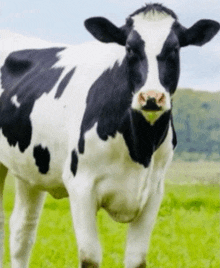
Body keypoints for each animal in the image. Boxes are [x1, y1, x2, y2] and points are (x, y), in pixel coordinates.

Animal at [0, 3, 218, 268]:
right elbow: (90, 257)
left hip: (31, 168)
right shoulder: (81, 187)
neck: (139, 147)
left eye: (174, 48)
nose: (152, 97)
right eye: (130, 48)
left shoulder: (153, 193)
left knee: (22, 230)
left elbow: (136, 259)